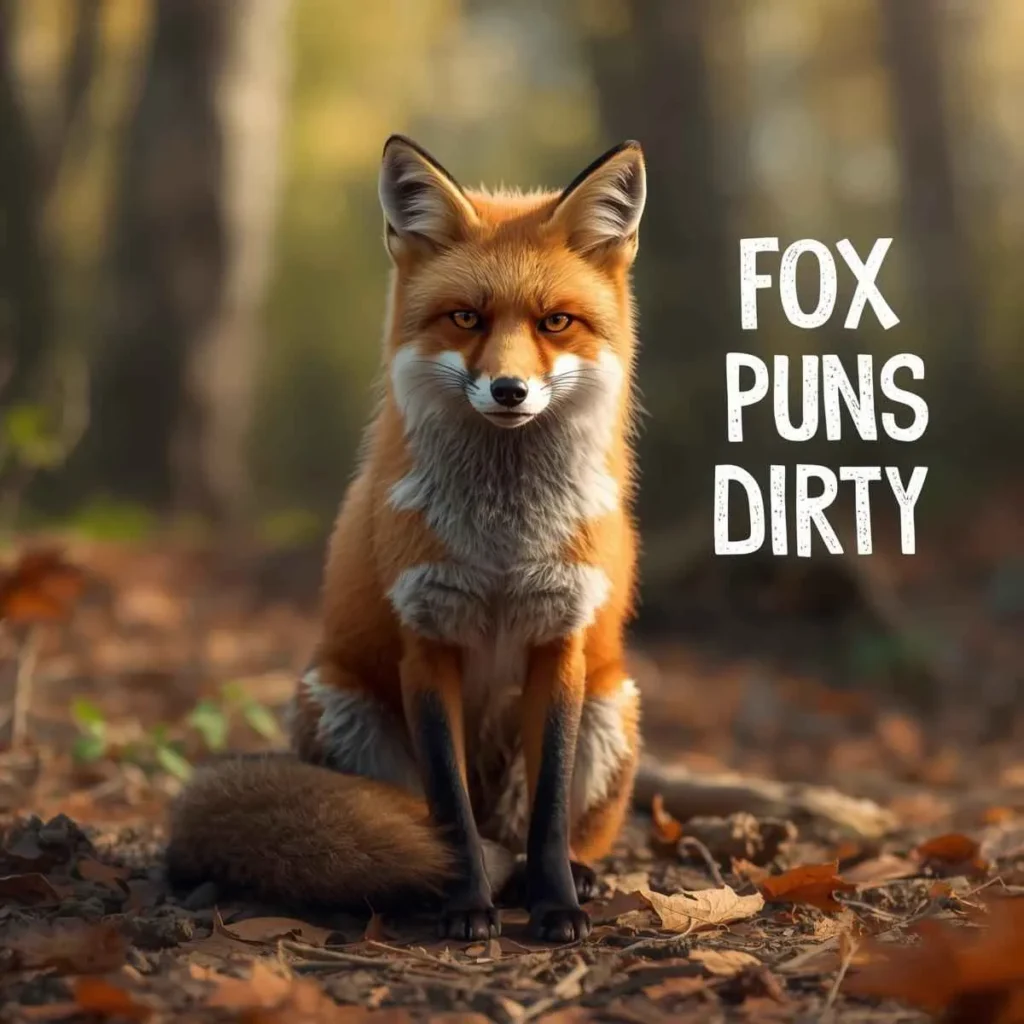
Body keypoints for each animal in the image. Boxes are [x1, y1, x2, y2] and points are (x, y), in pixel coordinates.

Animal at [166, 134, 647, 943]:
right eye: (466, 318)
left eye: (555, 323)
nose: (509, 390)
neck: (501, 542)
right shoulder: (426, 639)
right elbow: (450, 812)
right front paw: (466, 904)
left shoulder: (561, 639)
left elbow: (548, 813)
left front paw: (554, 905)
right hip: (338, 705)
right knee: (431, 820)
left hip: (612, 701)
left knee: (540, 829)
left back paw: (569, 876)